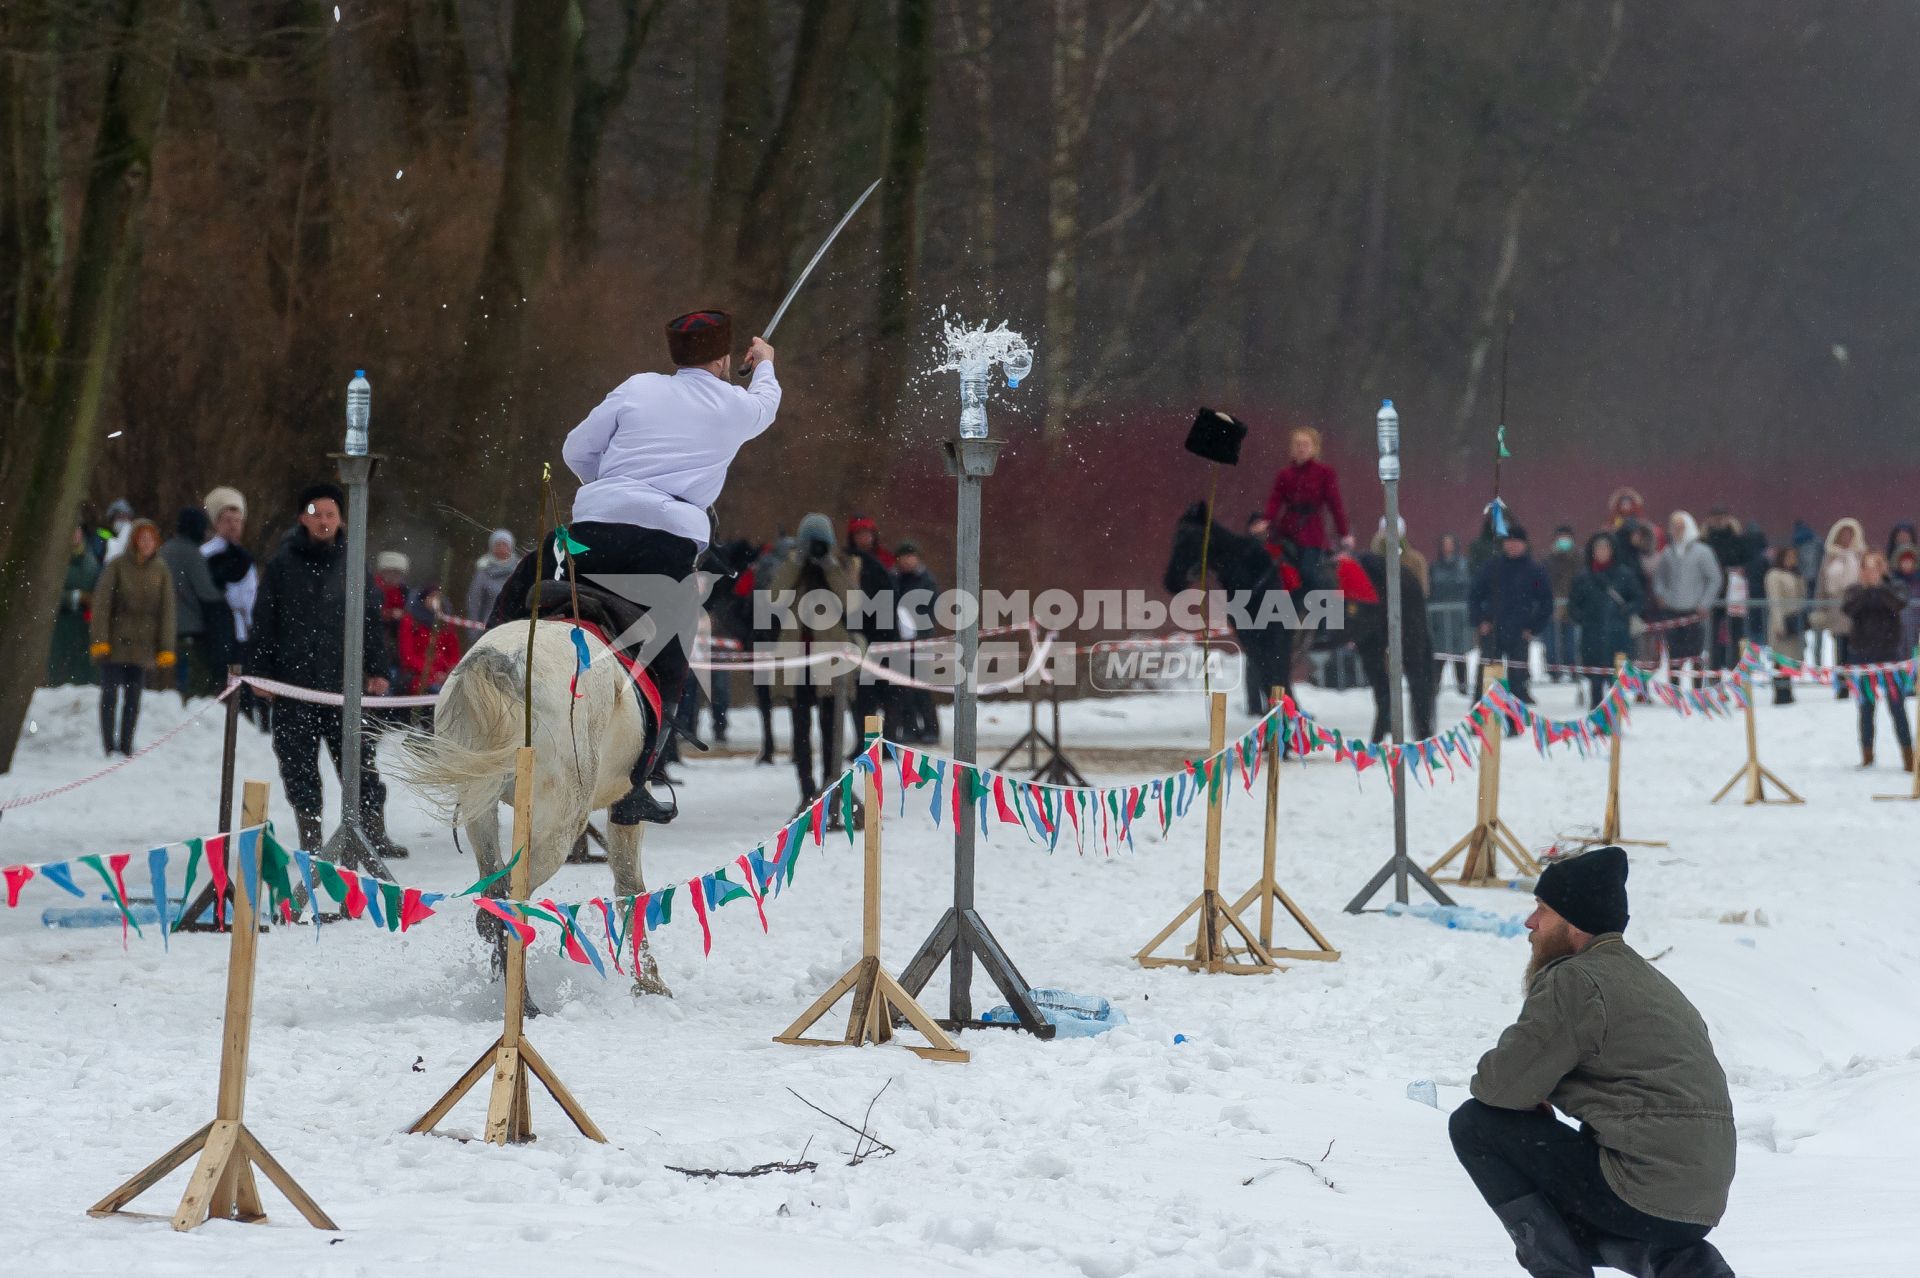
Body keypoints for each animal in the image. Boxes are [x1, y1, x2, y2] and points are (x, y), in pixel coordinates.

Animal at [389, 617, 668, 997]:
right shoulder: (627, 803)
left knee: (494, 886)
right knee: (513, 896)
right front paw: (651, 983)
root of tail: (506, 663)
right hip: (560, 823)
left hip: (480, 800)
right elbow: (631, 886)